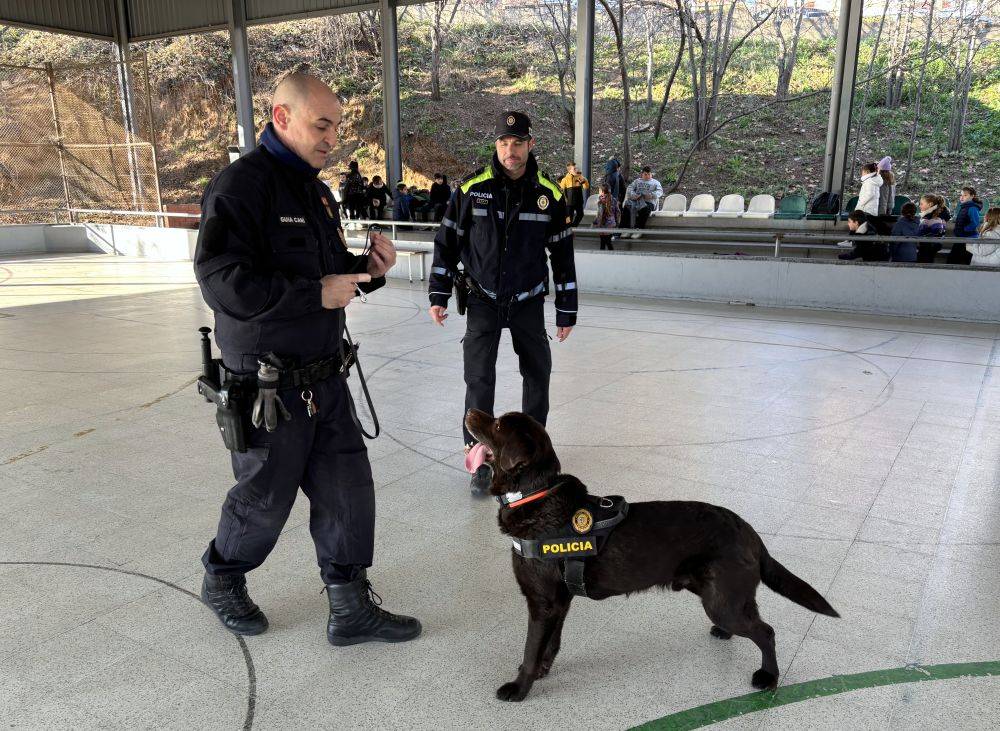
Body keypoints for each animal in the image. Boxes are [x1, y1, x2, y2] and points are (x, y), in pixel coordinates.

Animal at [464, 412, 840, 704]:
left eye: (497, 424)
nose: (469, 411)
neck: (535, 495)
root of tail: (749, 531)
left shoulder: (542, 603)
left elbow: (529, 649)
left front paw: (519, 687)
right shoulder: (559, 601)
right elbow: (550, 643)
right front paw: (543, 670)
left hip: (723, 602)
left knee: (767, 631)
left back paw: (768, 677)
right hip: (716, 595)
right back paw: (725, 635)